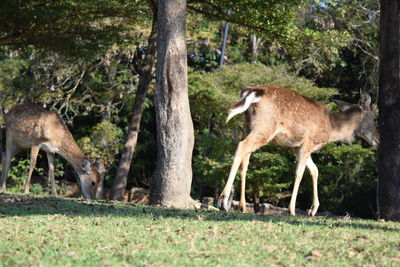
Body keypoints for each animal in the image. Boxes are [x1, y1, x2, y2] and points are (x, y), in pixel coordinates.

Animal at [219, 86, 378, 218]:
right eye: (375, 118)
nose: (378, 140)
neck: (332, 128)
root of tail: (251, 91)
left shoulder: (296, 146)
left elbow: (315, 170)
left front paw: (313, 210)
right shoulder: (308, 142)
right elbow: (299, 172)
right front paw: (292, 210)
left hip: (248, 127)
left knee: (245, 159)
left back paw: (242, 206)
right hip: (264, 128)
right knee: (241, 147)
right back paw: (224, 201)